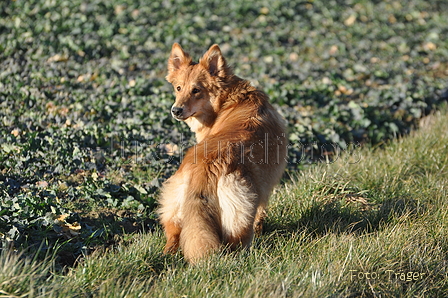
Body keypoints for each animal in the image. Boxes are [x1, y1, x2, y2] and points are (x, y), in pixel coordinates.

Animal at [158, 42, 288, 264]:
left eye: (196, 90)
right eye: (178, 88)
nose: (176, 110)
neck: (230, 99)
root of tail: (206, 165)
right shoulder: (265, 186)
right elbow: (261, 214)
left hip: (175, 206)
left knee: (174, 237)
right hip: (242, 211)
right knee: (236, 243)